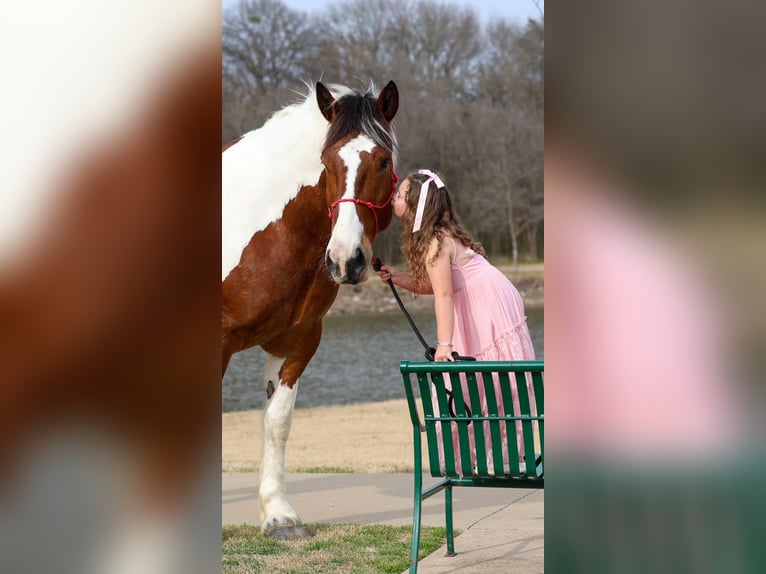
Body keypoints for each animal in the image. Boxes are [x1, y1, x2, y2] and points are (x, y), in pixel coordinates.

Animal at [221, 80, 399, 539]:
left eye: (383, 160)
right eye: (326, 162)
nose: (345, 259)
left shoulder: (296, 342)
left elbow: (276, 424)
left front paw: (278, 516)